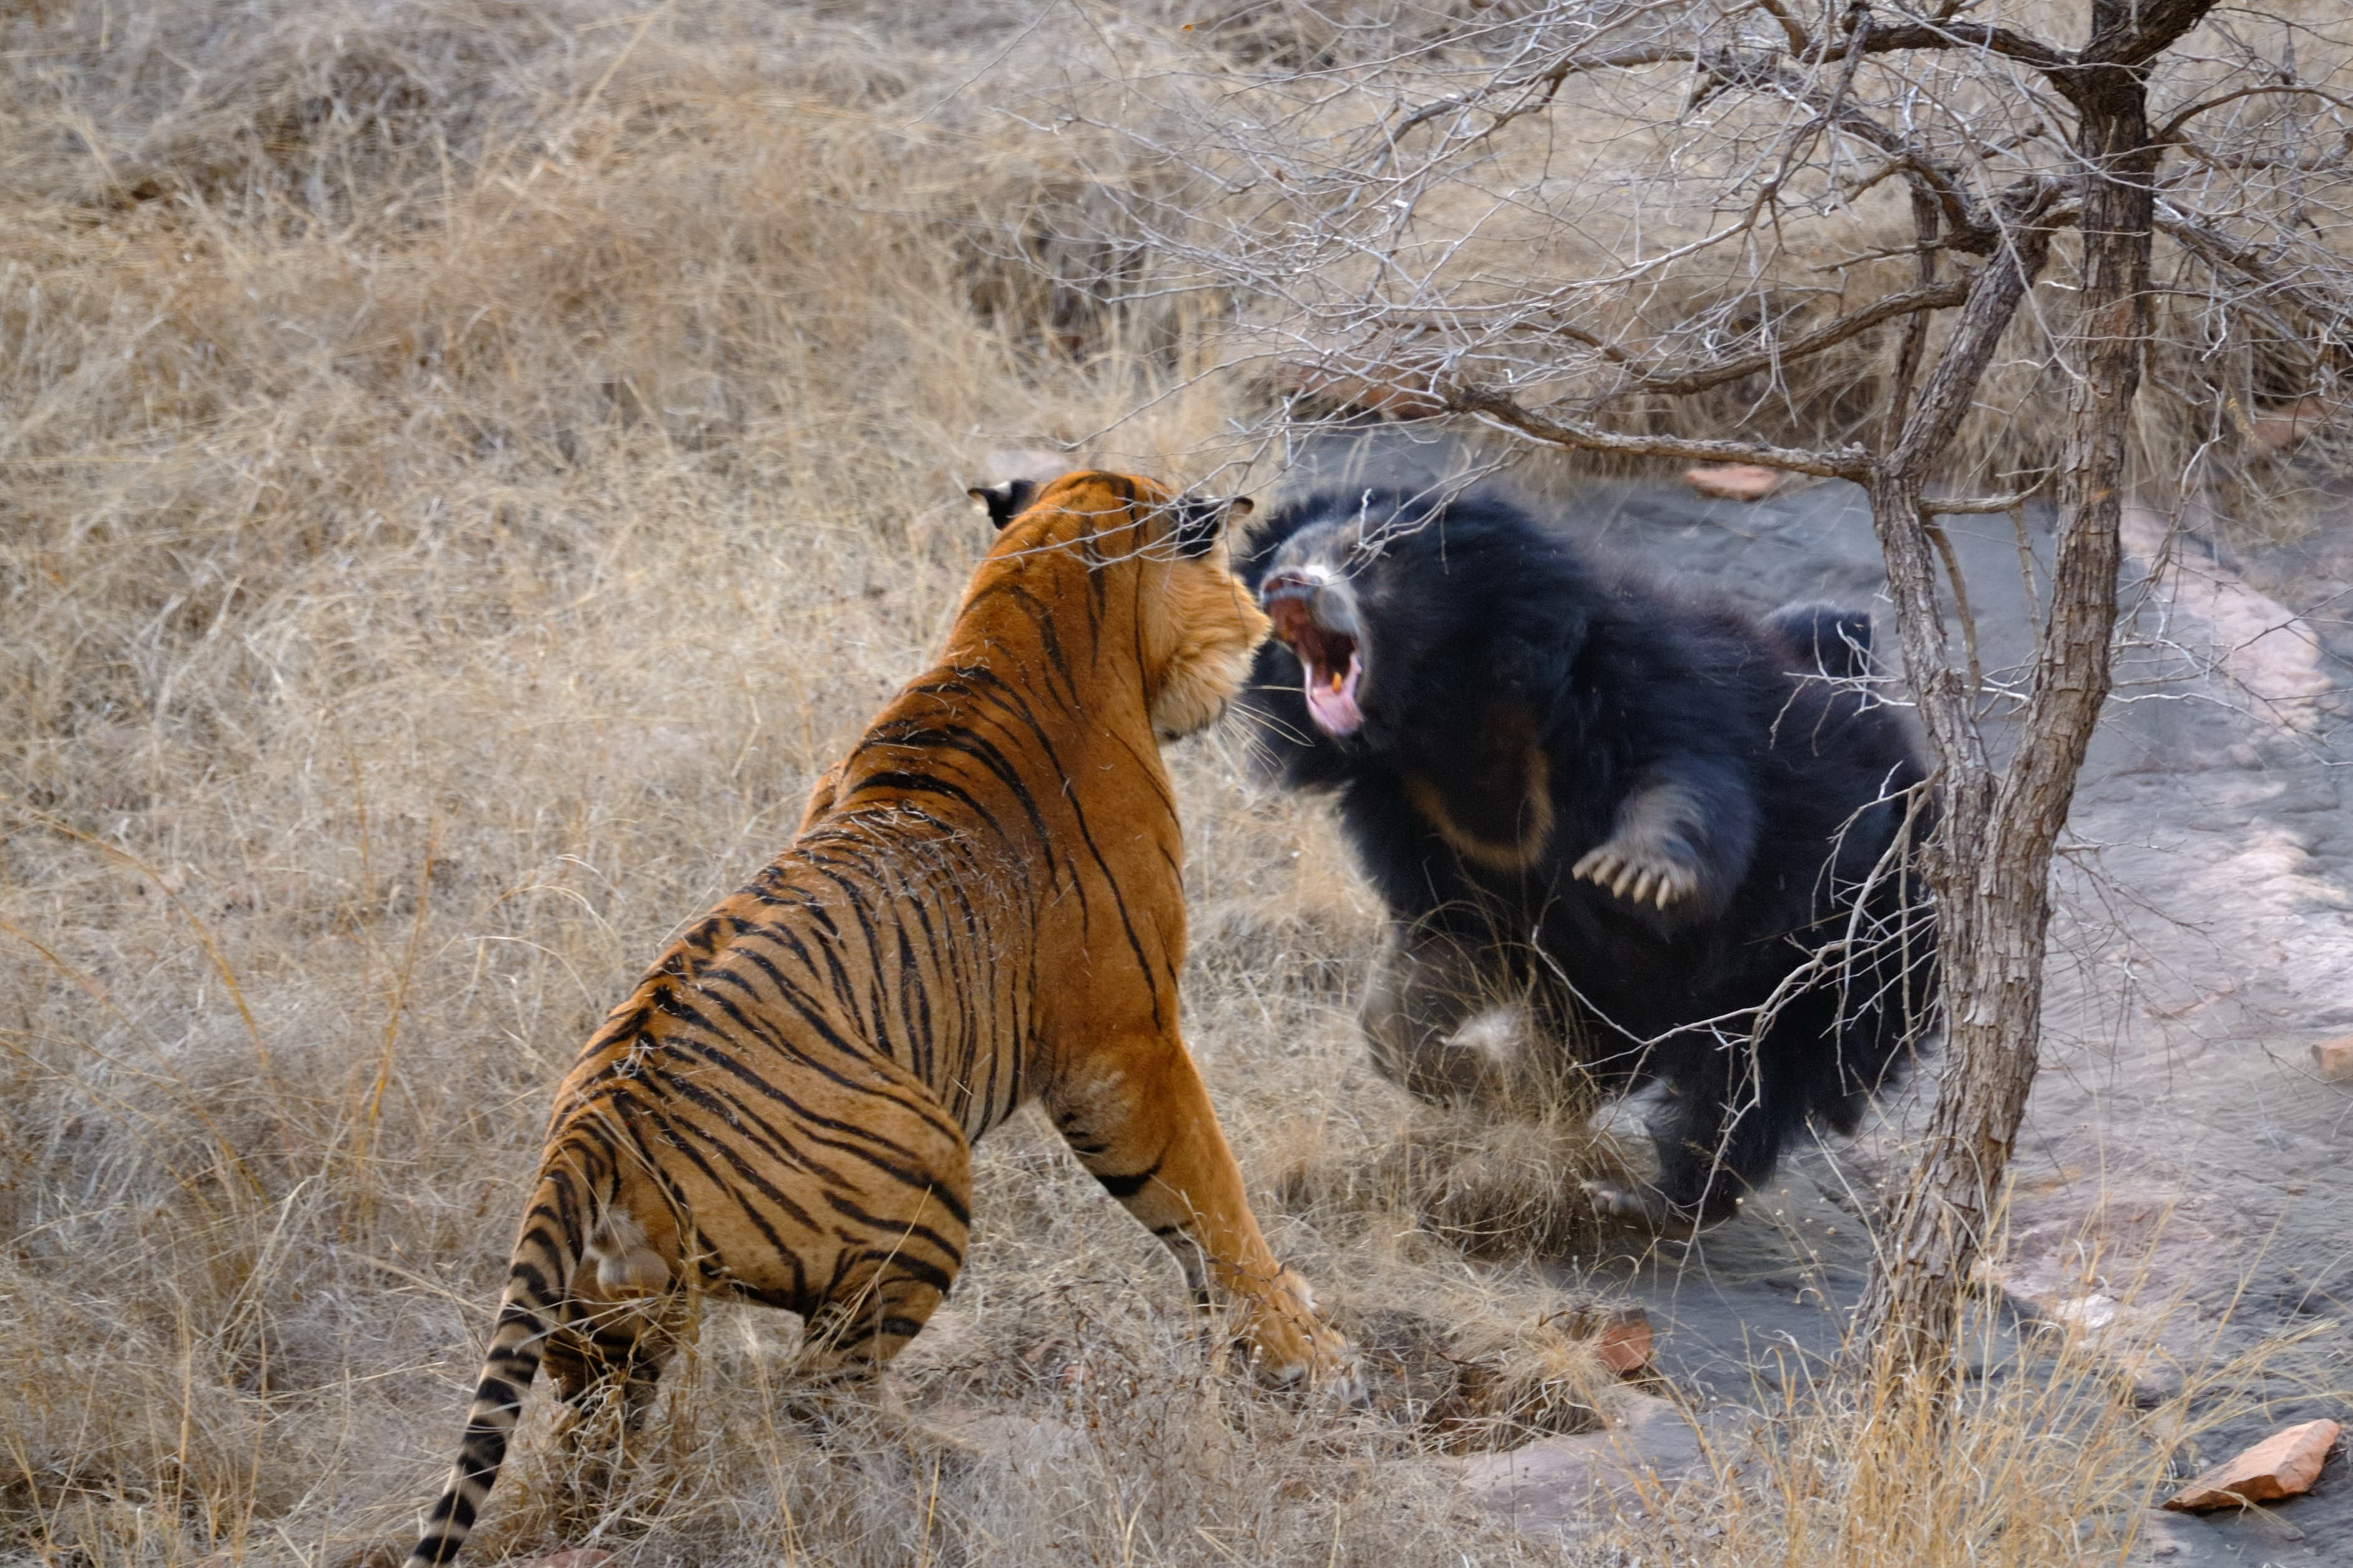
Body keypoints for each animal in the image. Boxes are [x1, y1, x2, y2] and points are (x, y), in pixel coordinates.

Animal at [399, 470, 1364, 1568]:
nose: (1261, 620)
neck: (1022, 614)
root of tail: (589, 1129)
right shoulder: (1128, 1044)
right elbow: (1212, 1200)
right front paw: (1309, 1356)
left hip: (609, 1333)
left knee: (599, 1446)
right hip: (925, 1168)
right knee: (817, 1391)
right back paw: (970, 1461)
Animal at [1242, 484, 1939, 1232]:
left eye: (1365, 555)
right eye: (1281, 563)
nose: (1285, 588)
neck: (1442, 714)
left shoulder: (1634, 682)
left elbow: (1685, 781)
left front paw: (1637, 874)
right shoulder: (1417, 817)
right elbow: (1437, 955)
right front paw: (1483, 1078)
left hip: (1849, 945)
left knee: (1754, 1078)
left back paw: (1655, 1196)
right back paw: (1553, 1092)